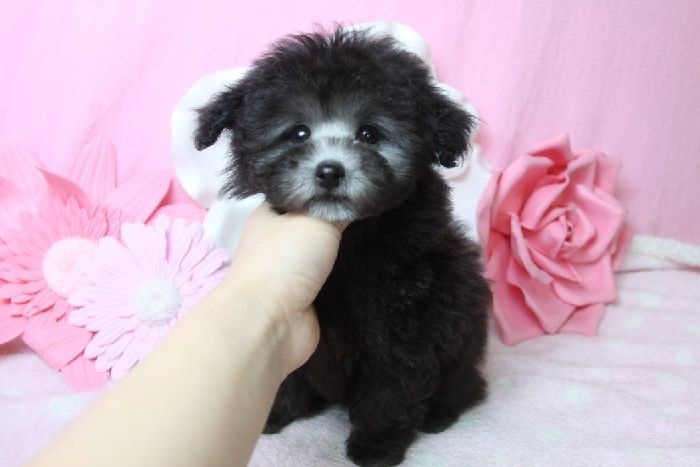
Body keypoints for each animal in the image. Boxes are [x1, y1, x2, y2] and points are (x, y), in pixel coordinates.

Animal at [194, 28, 491, 467]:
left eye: (369, 133)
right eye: (298, 133)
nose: (330, 171)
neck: (351, 242)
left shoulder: (406, 323)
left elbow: (391, 387)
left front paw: (377, 444)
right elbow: (287, 368)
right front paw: (276, 410)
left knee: (467, 384)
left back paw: (440, 413)